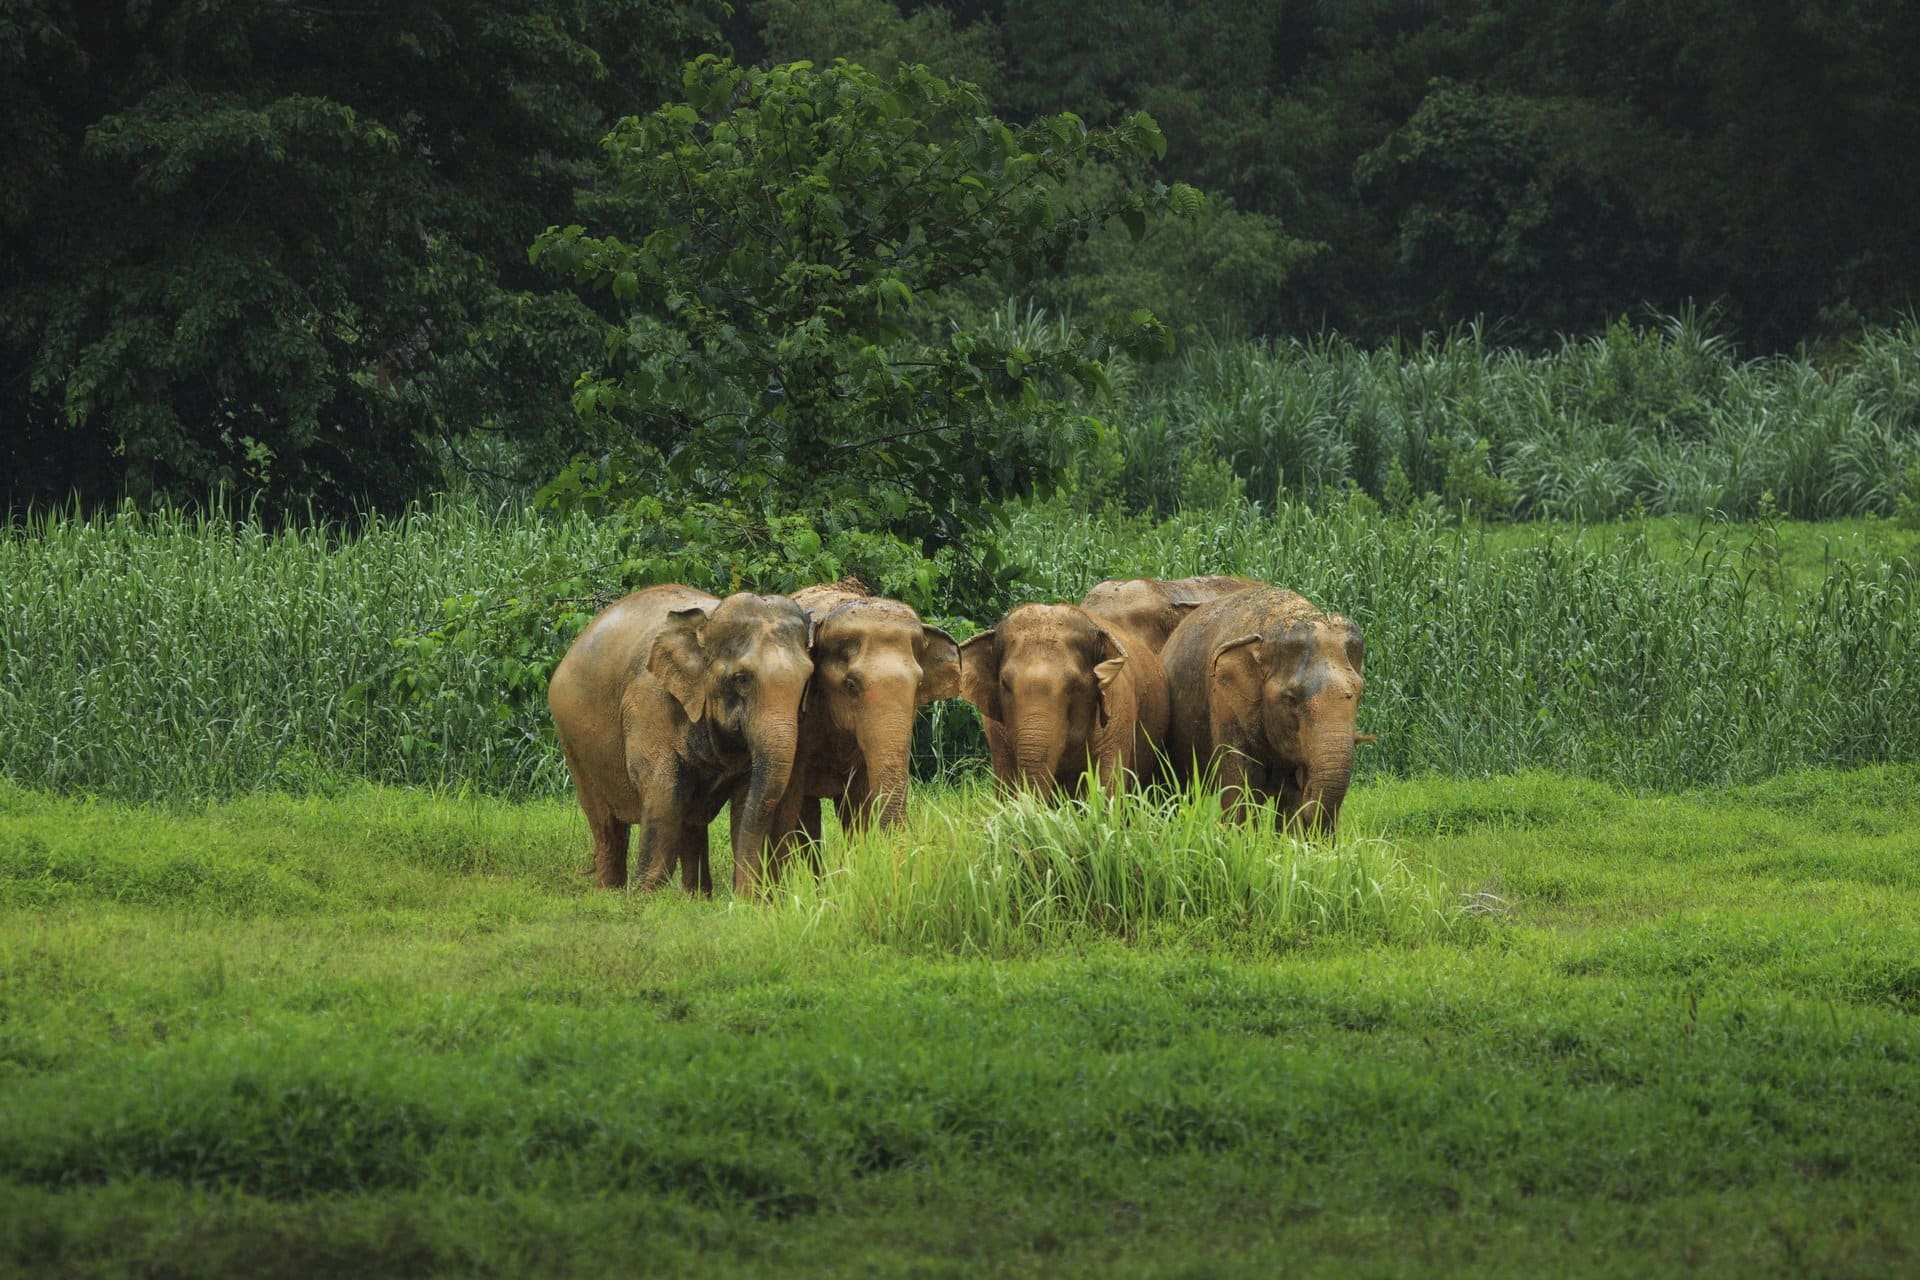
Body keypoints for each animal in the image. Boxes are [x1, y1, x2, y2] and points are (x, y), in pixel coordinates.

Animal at [547, 585, 814, 894]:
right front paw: (644, 896)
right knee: (606, 823)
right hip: (571, 737)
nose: (747, 896)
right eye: (741, 679)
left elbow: (747, 796)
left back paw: (696, 897)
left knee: (689, 820)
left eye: (808, 678)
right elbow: (662, 789)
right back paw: (608, 894)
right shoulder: (648, 702)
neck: (706, 622)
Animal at [1162, 586, 1366, 836]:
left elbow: (1288, 800)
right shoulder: (1223, 700)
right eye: (1291, 699)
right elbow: (1239, 786)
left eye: (1359, 694)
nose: (1308, 786)